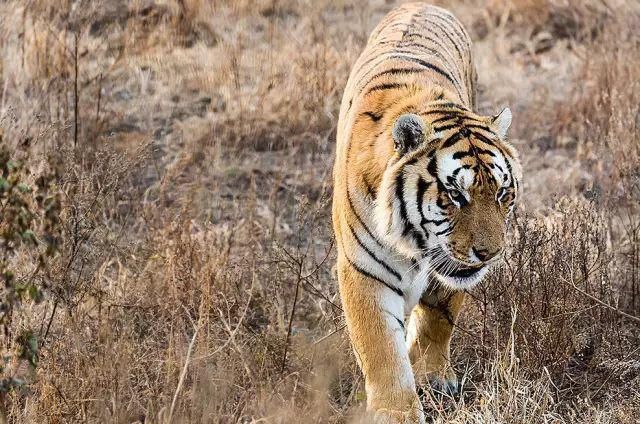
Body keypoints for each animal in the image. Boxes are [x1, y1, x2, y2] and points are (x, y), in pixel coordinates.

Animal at [332, 2, 524, 420]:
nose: (491, 254)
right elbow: (380, 348)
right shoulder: (362, 270)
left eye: (501, 193)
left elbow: (439, 318)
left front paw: (433, 378)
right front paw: (396, 413)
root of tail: (421, 4)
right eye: (455, 195)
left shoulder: (450, 268)